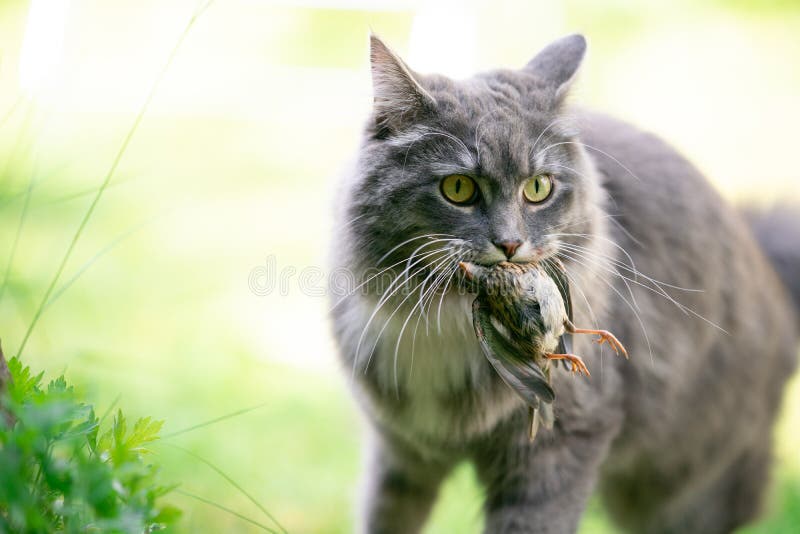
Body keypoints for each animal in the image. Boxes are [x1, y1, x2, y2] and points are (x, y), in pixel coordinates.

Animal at [326, 34, 800, 534]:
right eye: (458, 188)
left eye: (538, 188)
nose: (509, 244)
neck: (444, 319)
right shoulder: (400, 451)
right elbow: (385, 515)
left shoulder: (560, 445)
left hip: (685, 490)